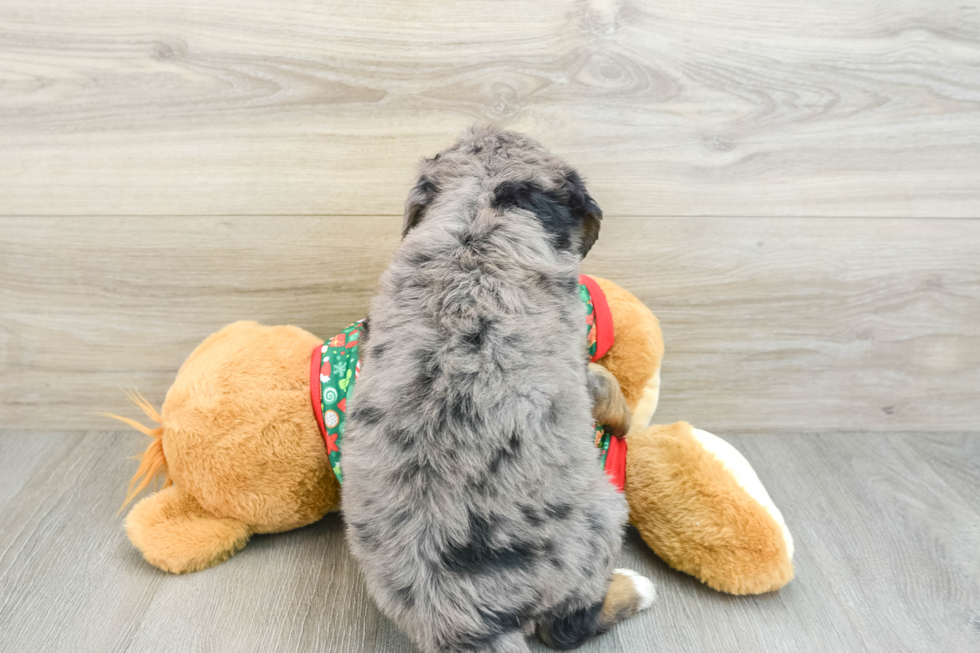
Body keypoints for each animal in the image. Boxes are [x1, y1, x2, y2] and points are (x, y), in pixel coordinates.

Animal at [340, 127, 656, 652]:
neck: (478, 223)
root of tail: (464, 624)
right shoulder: (574, 355)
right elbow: (603, 380)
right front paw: (626, 417)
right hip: (604, 514)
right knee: (568, 626)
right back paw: (636, 587)